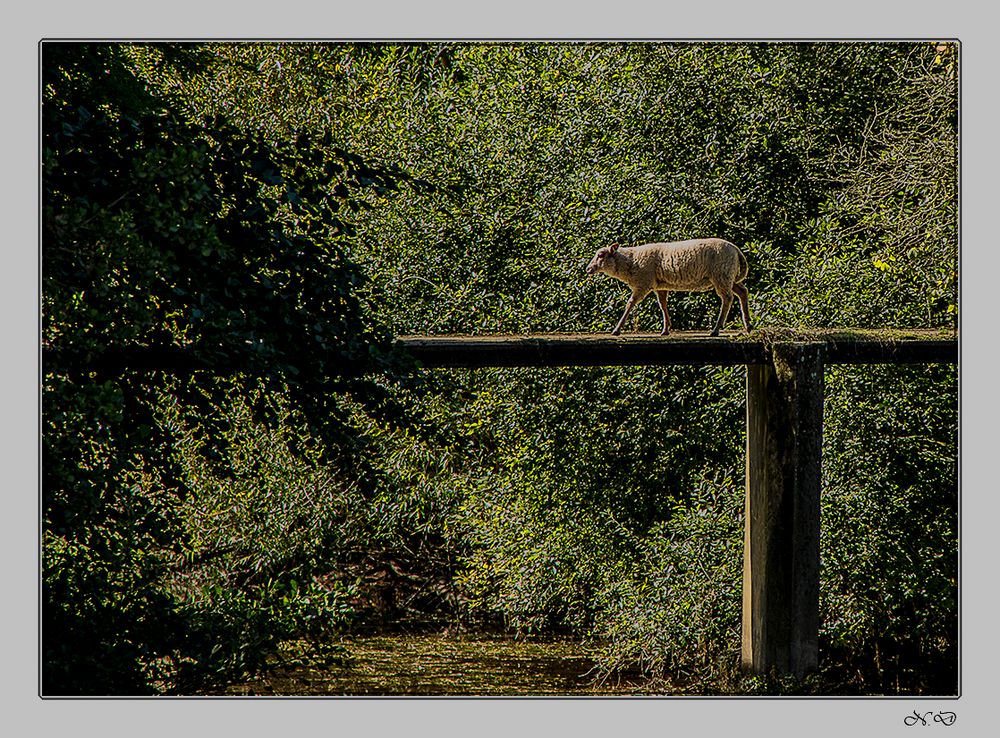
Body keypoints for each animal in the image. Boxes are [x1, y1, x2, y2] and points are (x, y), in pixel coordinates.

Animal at [584, 239, 752, 336]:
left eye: (601, 255)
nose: (588, 269)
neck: (630, 261)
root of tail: (736, 249)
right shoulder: (660, 286)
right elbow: (663, 305)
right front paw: (666, 329)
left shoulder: (643, 283)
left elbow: (630, 304)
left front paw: (617, 329)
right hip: (729, 276)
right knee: (743, 292)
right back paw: (748, 325)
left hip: (721, 274)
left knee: (727, 298)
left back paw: (716, 329)